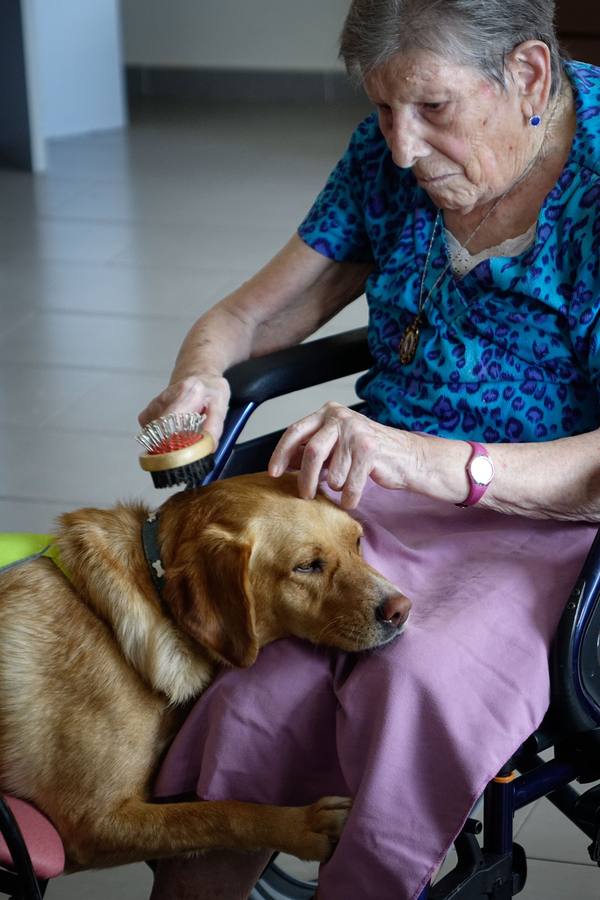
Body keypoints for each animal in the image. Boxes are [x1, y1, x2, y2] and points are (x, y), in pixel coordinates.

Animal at [0, 472, 408, 872]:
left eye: (357, 542)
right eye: (306, 566)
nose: (402, 610)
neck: (154, 591)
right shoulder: (95, 821)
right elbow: (220, 813)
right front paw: (301, 823)